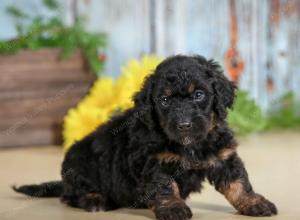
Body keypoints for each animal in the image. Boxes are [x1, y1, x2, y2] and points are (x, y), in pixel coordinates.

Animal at [13, 54, 276, 218]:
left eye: (199, 94)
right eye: (165, 100)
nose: (184, 125)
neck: (189, 144)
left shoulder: (223, 156)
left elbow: (238, 182)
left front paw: (255, 202)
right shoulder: (155, 162)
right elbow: (165, 187)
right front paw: (173, 209)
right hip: (78, 165)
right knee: (72, 195)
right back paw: (96, 200)